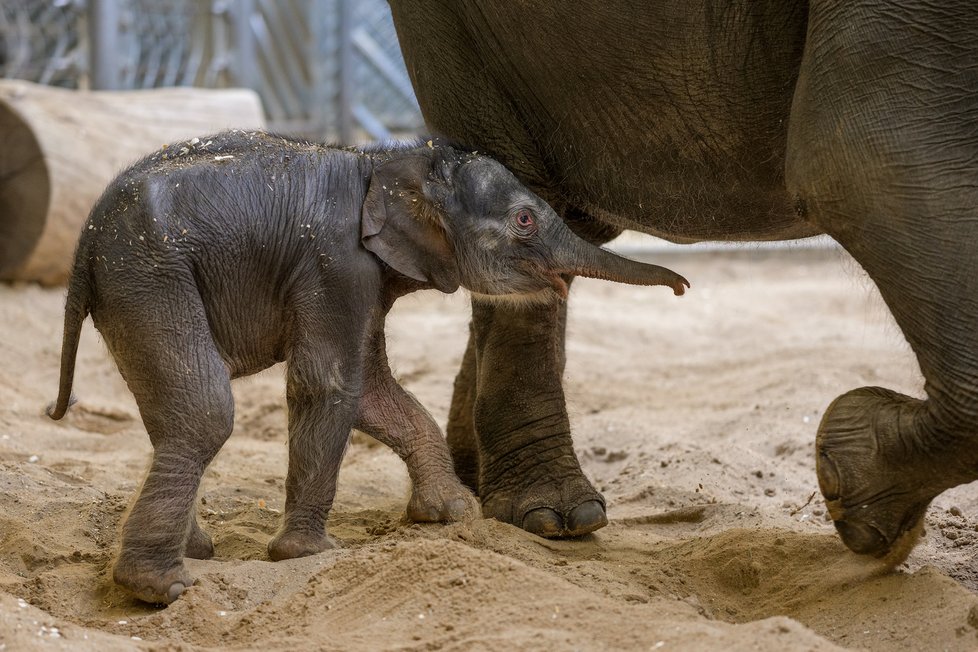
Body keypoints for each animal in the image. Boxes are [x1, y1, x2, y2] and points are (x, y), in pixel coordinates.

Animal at [47, 130, 688, 604]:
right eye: (526, 220)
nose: (682, 287)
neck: (387, 159)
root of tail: (83, 243)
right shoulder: (336, 264)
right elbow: (330, 383)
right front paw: (309, 556)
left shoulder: (367, 278)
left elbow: (376, 393)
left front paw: (451, 515)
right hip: (150, 280)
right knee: (205, 412)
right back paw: (161, 587)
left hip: (134, 292)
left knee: (174, 414)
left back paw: (195, 552)